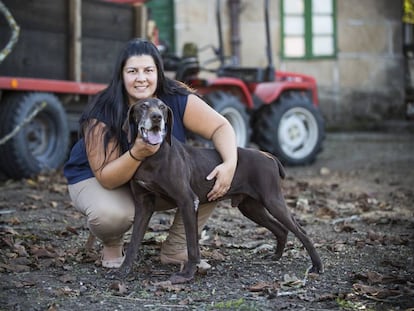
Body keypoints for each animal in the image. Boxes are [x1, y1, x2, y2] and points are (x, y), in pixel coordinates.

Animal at [117, 98, 324, 284]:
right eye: (143, 106)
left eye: (162, 107)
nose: (157, 117)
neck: (153, 156)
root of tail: (267, 155)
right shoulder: (144, 205)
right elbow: (134, 242)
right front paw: (124, 269)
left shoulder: (187, 201)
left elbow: (192, 245)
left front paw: (187, 275)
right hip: (251, 208)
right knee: (281, 229)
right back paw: (276, 256)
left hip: (272, 200)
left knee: (301, 231)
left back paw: (317, 266)